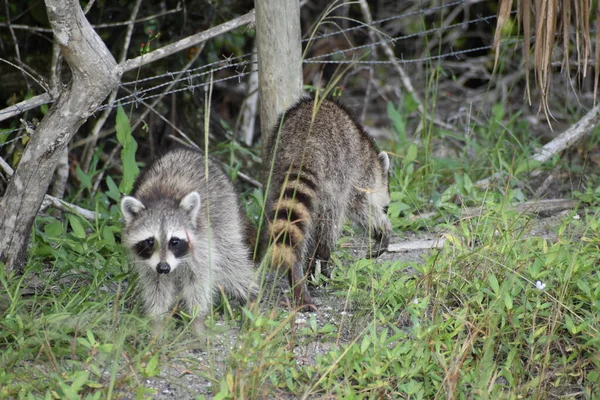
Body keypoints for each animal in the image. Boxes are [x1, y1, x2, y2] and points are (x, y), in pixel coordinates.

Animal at [119, 148, 255, 334]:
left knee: (232, 261)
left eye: (174, 241)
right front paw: (157, 321)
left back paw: (249, 295)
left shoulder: (203, 244)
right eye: (150, 242)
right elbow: (156, 286)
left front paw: (197, 319)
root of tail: (187, 150)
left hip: (226, 216)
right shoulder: (148, 262)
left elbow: (199, 283)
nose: (163, 268)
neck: (162, 199)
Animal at [264, 97, 394, 310]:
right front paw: (382, 229)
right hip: (335, 177)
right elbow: (361, 207)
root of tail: (305, 146)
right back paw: (322, 264)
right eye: (386, 207)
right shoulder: (359, 176)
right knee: (329, 226)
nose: (386, 209)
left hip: (274, 170)